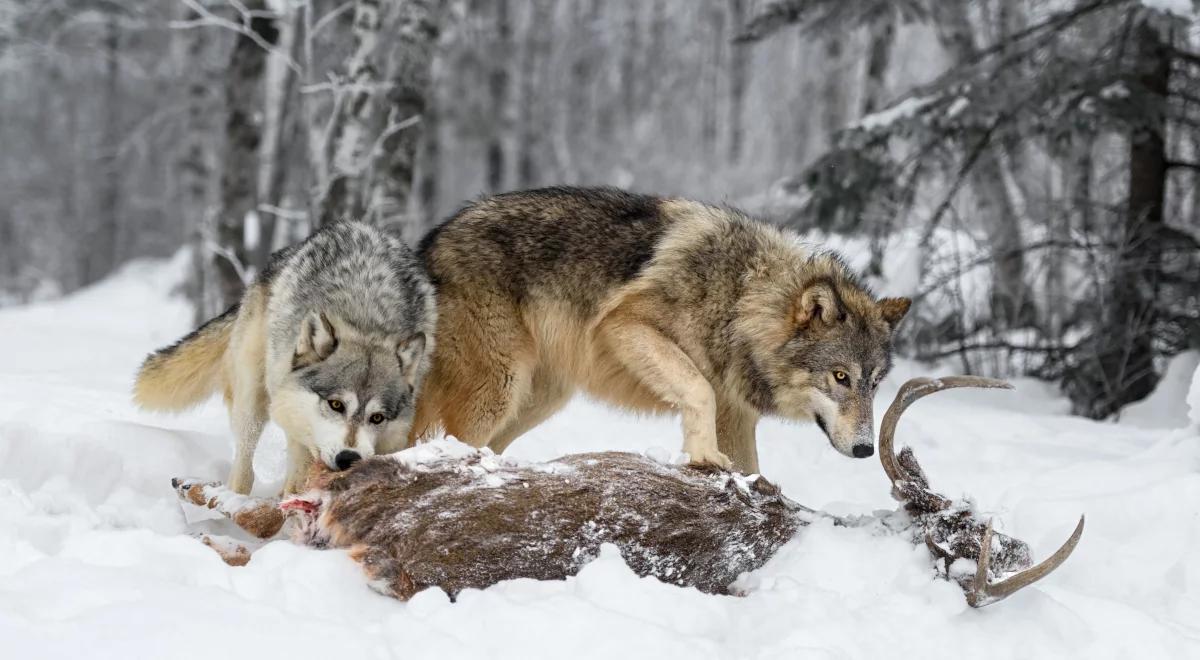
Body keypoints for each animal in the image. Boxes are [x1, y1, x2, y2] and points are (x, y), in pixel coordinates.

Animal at [136, 224, 436, 496]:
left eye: (377, 418)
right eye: (336, 405)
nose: (348, 459)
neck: (367, 321)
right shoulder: (297, 432)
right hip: (253, 400)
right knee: (244, 466)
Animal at [410, 187, 907, 475]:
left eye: (874, 384)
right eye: (840, 377)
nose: (866, 449)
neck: (742, 297)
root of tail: (428, 244)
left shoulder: (737, 415)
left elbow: (754, 471)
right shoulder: (627, 326)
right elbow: (698, 388)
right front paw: (702, 454)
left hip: (538, 399)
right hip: (497, 390)